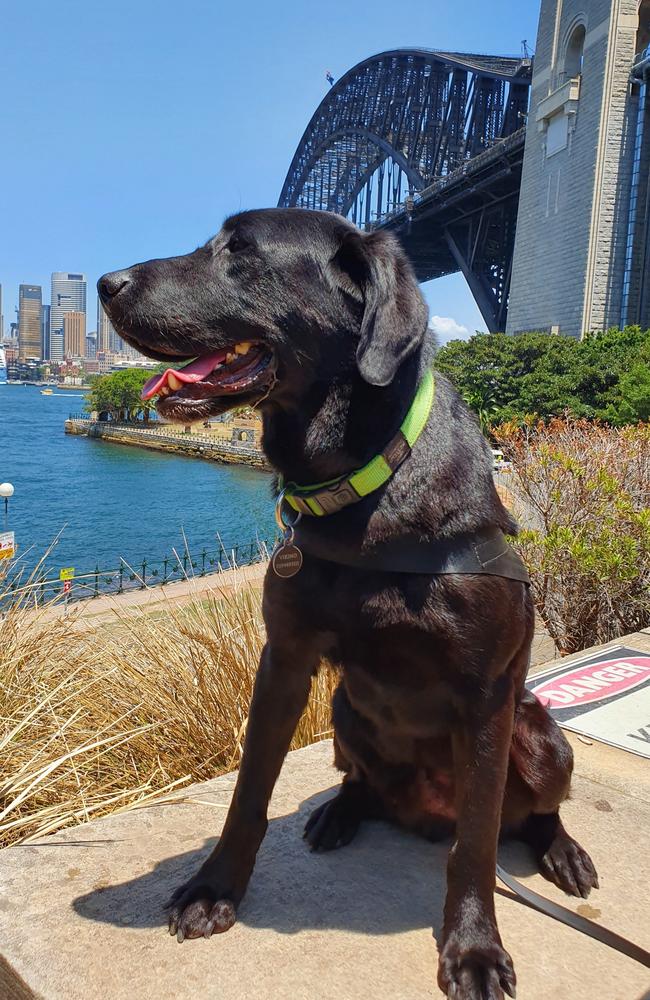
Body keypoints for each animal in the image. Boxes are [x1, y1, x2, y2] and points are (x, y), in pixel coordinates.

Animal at [98, 207, 596, 996]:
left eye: (240, 250)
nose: (104, 284)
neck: (362, 487)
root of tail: (424, 815)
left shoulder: (486, 696)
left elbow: (478, 847)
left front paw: (474, 948)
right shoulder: (285, 662)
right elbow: (249, 791)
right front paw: (216, 887)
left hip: (542, 739)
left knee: (528, 815)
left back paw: (561, 850)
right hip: (342, 712)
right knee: (362, 781)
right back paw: (339, 813)